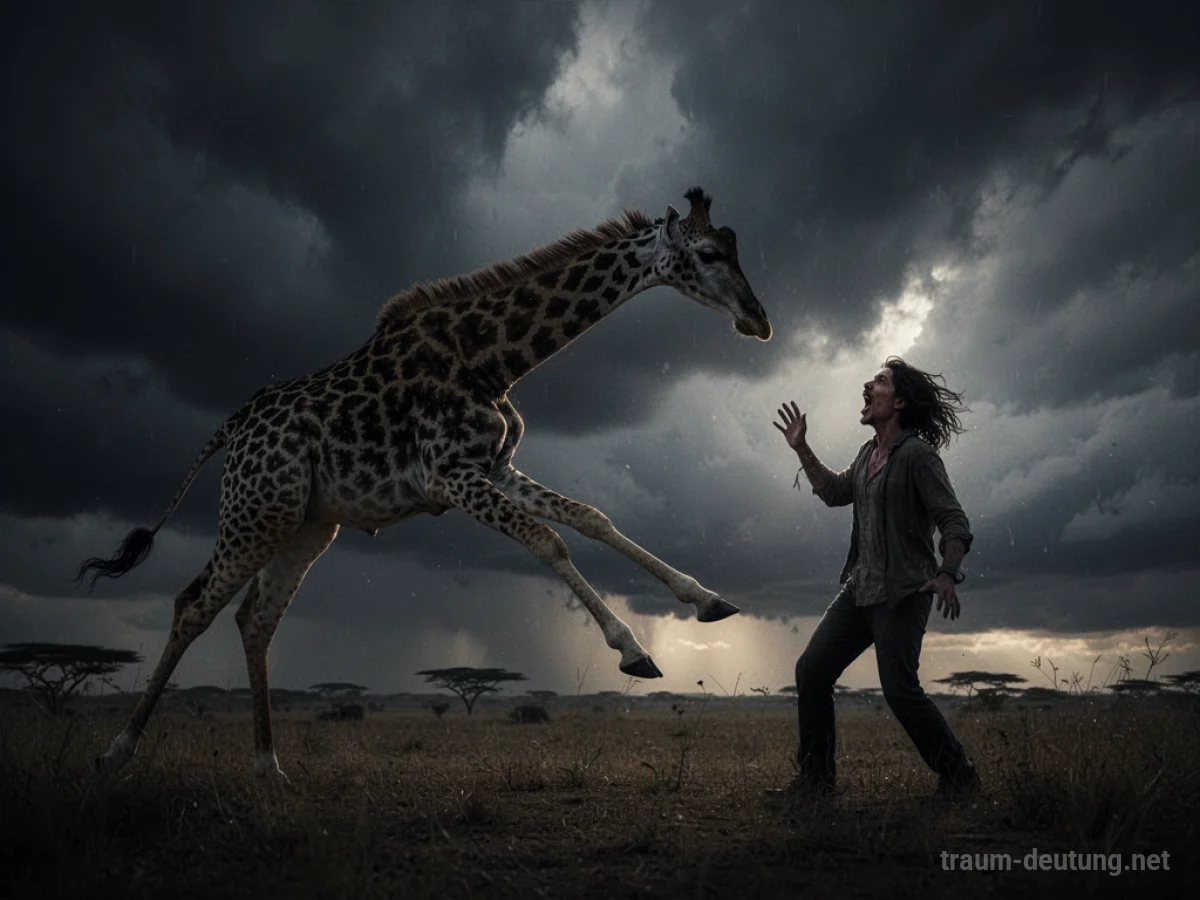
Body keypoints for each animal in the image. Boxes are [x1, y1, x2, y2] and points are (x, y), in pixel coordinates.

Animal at [77, 187, 772, 778]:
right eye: (709, 253)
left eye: (735, 246)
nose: (758, 320)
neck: (490, 361)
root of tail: (232, 428)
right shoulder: (450, 476)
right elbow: (548, 541)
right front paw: (633, 651)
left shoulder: (494, 466)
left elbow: (591, 517)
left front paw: (707, 599)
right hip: (257, 511)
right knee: (194, 603)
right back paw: (117, 751)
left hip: (307, 525)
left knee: (255, 618)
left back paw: (268, 767)